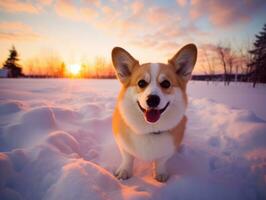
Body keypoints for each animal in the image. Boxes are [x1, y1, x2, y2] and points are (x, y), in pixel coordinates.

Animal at [111, 44, 196, 182]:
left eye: (166, 83)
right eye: (141, 83)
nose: (152, 100)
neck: (150, 130)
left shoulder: (168, 150)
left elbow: (161, 161)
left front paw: (160, 174)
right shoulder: (123, 145)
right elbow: (127, 158)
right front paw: (124, 171)